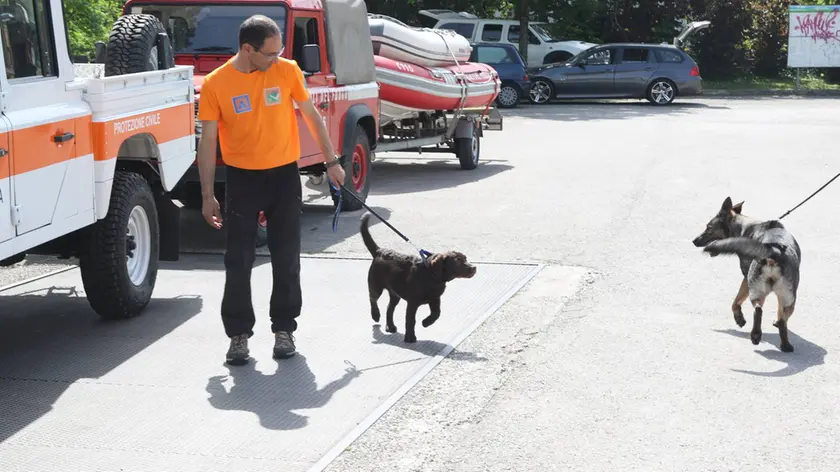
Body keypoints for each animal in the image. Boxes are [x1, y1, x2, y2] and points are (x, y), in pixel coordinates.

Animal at [360, 212, 480, 342]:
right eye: (458, 262)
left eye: (466, 258)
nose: (474, 267)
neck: (432, 276)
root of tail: (379, 251)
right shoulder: (412, 302)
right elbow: (410, 320)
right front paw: (410, 338)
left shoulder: (435, 298)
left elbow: (436, 313)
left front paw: (426, 323)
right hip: (375, 285)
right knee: (372, 299)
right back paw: (375, 315)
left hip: (395, 293)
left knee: (389, 308)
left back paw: (390, 326)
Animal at [692, 197, 804, 352]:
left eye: (708, 227)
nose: (694, 241)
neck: (745, 226)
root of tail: (774, 251)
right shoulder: (781, 296)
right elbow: (779, 311)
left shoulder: (745, 279)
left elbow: (735, 302)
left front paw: (739, 318)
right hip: (789, 299)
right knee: (778, 318)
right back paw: (783, 344)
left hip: (759, 290)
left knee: (759, 310)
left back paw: (758, 336)